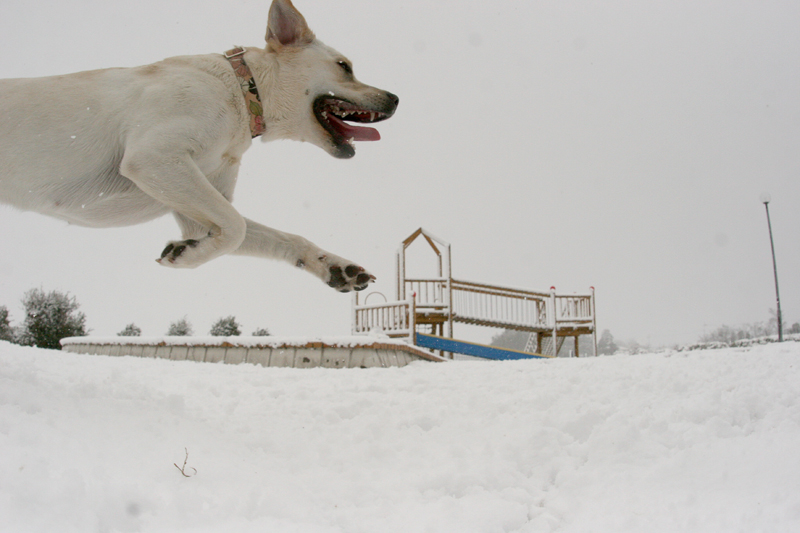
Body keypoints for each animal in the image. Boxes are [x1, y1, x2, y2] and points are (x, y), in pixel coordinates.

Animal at [0, 0, 398, 290]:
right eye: (344, 66)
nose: (395, 99)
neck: (243, 92)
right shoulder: (156, 159)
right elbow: (236, 228)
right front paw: (185, 255)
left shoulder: (196, 206)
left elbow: (283, 237)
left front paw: (336, 268)